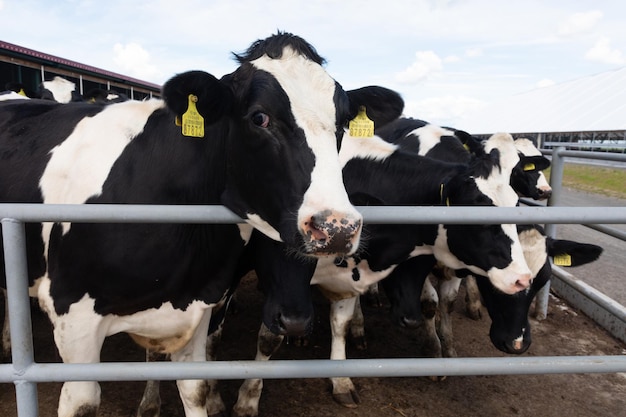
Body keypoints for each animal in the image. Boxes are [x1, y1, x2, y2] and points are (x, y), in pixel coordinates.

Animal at [0, 32, 404, 416]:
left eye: (342, 124)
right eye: (259, 117)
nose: (337, 228)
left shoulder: (198, 304)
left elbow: (194, 388)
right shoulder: (73, 316)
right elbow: (81, 402)